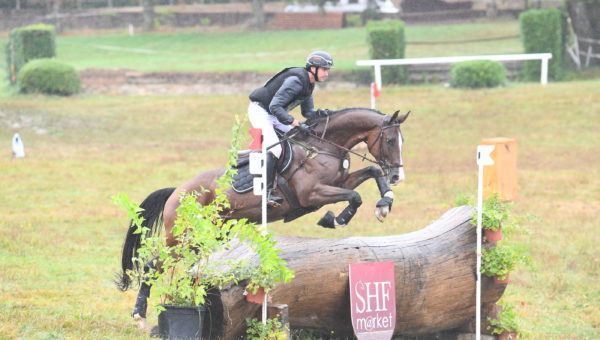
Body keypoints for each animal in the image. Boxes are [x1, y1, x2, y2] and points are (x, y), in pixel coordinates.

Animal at [116, 107, 408, 326]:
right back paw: (139, 315)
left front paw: (385, 202)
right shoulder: (312, 194)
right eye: (390, 141)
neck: (322, 147)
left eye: (401, 141)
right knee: (153, 265)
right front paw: (335, 219)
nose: (397, 175)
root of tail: (177, 191)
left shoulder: (340, 181)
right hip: (183, 237)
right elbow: (355, 197)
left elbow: (371, 172)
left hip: (213, 234)